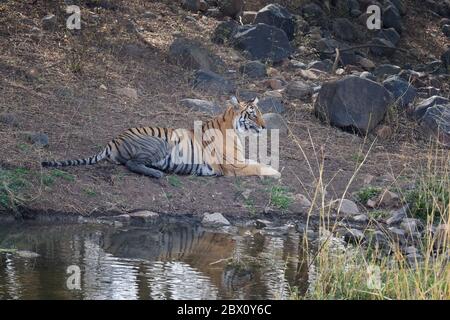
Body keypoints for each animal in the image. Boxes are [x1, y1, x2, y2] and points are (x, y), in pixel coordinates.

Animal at [42, 97, 282, 179]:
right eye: (252, 113)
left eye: (261, 113)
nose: (264, 126)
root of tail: (114, 140)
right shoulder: (234, 164)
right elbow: (257, 166)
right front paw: (276, 174)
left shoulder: (240, 159)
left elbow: (256, 161)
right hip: (160, 143)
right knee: (131, 163)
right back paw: (157, 173)